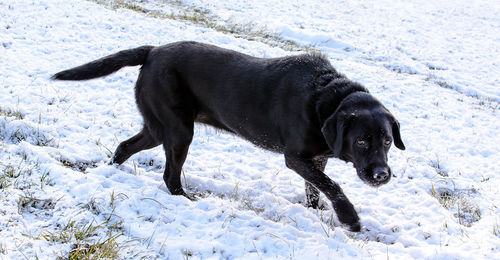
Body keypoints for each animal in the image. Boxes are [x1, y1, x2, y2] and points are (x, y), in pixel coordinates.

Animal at [52, 41, 404, 232]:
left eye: (387, 141)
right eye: (361, 141)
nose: (381, 175)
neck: (326, 97)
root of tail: (152, 51)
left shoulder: (316, 158)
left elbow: (317, 187)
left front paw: (316, 211)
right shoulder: (295, 157)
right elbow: (333, 186)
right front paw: (350, 219)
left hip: (157, 127)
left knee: (126, 146)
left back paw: (110, 172)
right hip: (179, 131)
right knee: (169, 175)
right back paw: (186, 200)